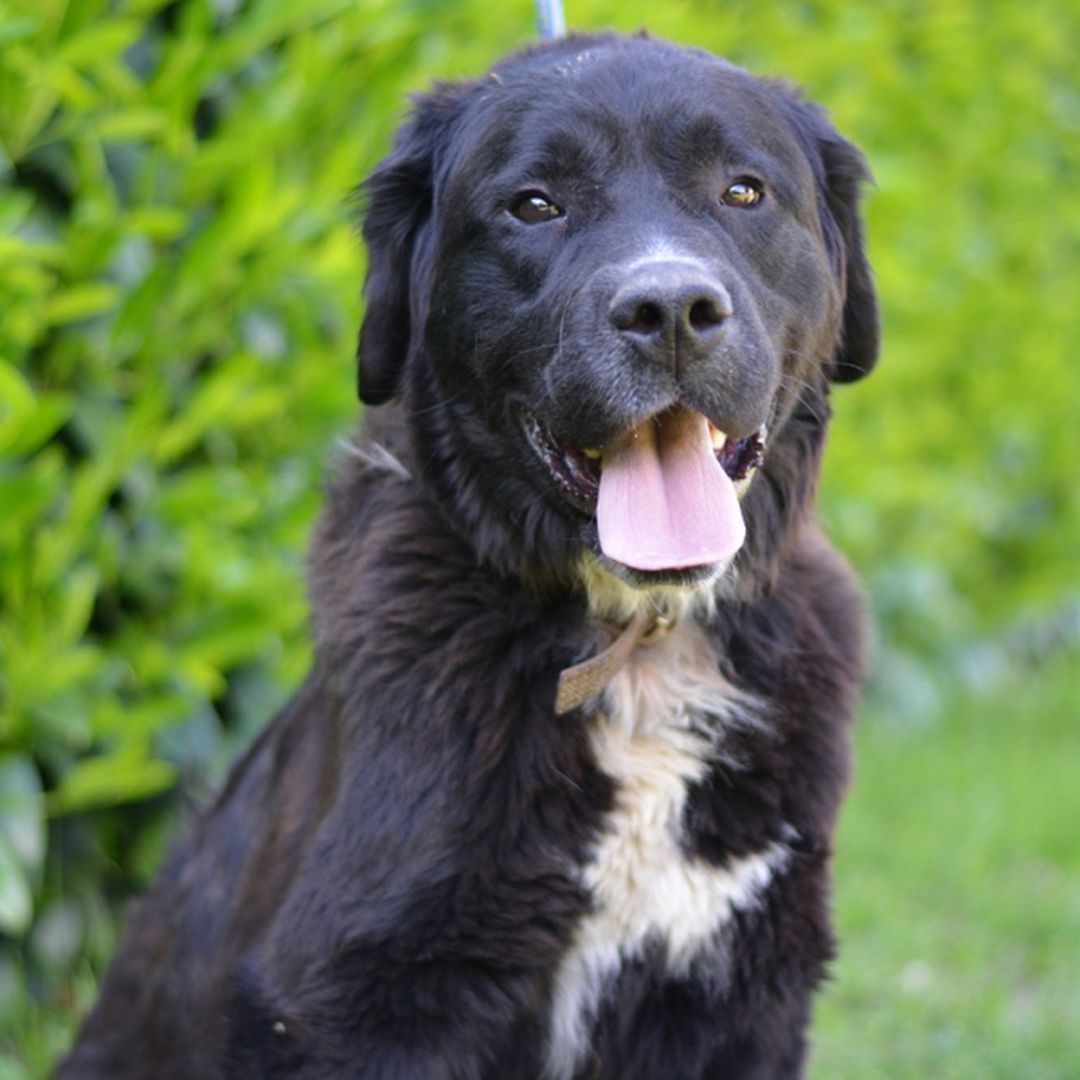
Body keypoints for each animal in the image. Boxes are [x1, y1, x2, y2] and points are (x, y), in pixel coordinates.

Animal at [56, 31, 876, 1080]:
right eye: (535, 204)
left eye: (743, 190)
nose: (672, 309)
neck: (633, 649)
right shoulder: (356, 997)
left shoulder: (739, 994)